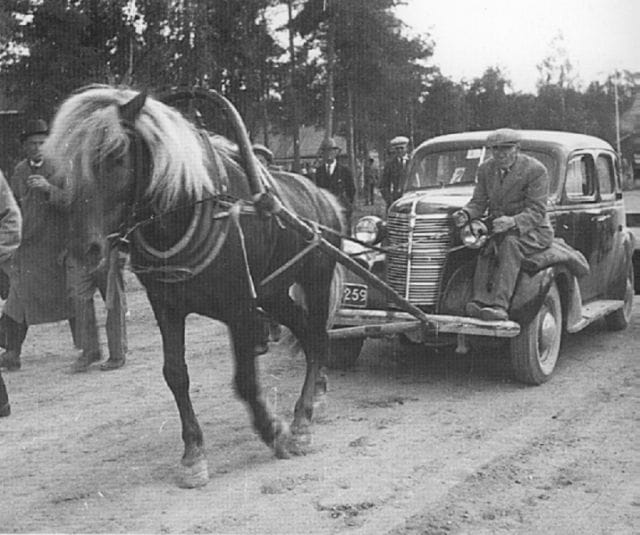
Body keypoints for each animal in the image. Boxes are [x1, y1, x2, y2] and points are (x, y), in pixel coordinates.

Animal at [44, 85, 348, 490]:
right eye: (63, 166)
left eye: (115, 155)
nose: (84, 249)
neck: (188, 208)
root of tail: (324, 198)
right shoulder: (166, 305)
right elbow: (176, 374)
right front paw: (193, 455)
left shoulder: (240, 306)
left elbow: (245, 380)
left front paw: (274, 431)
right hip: (273, 294)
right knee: (308, 334)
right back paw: (316, 399)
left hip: (315, 279)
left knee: (316, 336)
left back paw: (301, 421)